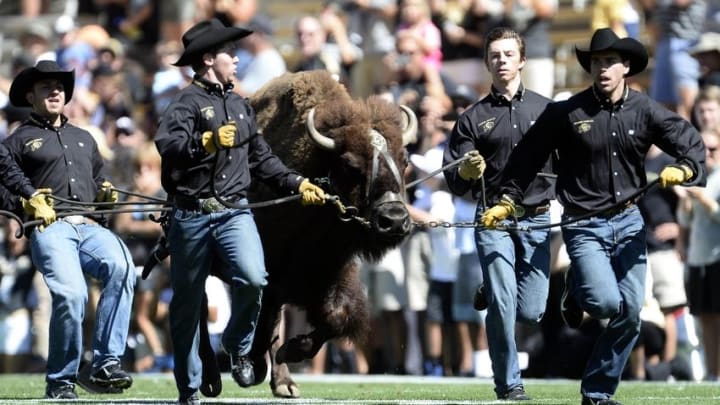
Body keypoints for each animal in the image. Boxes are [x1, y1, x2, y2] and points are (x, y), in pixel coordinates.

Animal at [222, 70, 416, 398]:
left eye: (405, 161)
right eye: (350, 165)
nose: (394, 220)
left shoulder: (333, 270)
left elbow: (337, 316)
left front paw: (290, 352)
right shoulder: (270, 274)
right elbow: (265, 319)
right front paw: (255, 365)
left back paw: (284, 382)